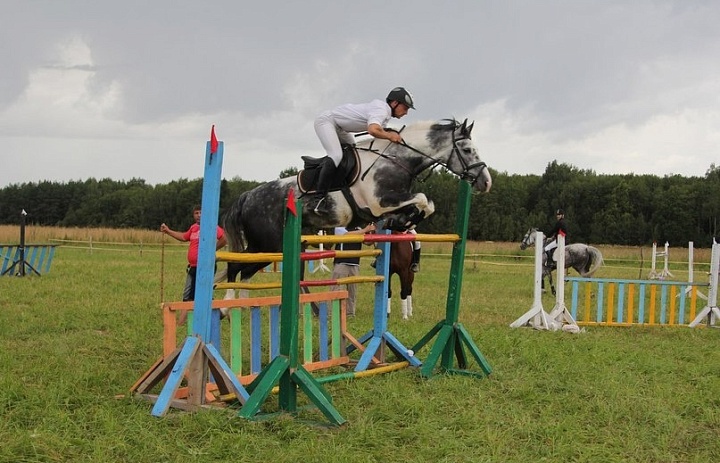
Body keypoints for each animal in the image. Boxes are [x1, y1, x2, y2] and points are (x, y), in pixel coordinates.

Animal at [222, 118, 492, 292]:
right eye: (467, 150)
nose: (486, 182)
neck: (395, 160)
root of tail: (248, 196)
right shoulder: (379, 203)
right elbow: (424, 199)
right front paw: (405, 220)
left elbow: (426, 204)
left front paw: (402, 221)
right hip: (269, 243)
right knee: (236, 266)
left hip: (265, 245)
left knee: (243, 272)